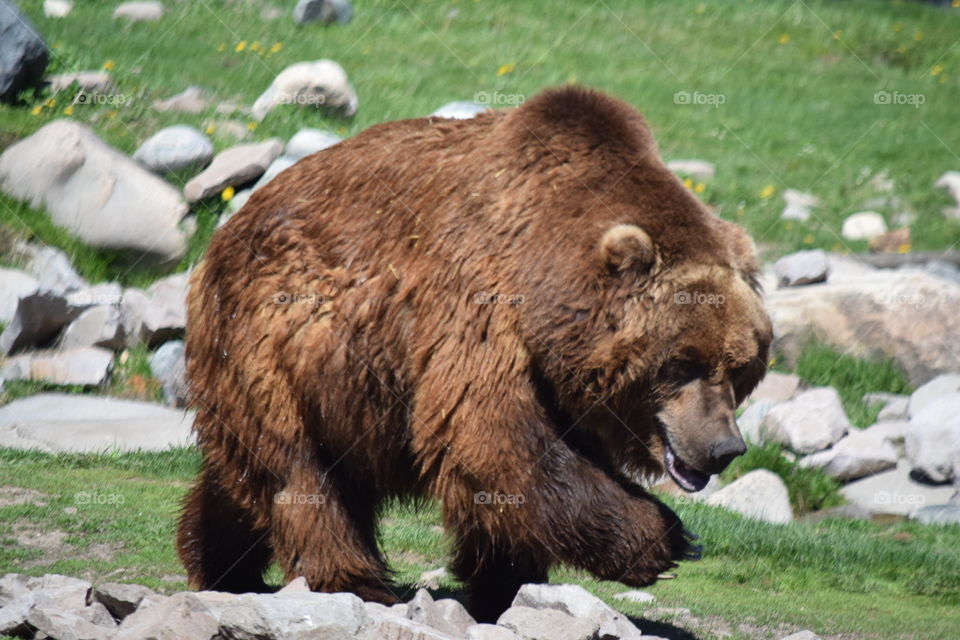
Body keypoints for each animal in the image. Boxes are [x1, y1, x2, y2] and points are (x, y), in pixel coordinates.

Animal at [177, 86, 772, 622]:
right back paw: (354, 581)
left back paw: (218, 561)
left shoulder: (555, 374)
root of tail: (225, 230)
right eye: (683, 363)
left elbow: (505, 478)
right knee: (301, 473)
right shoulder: (480, 309)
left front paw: (505, 582)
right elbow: (493, 438)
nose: (723, 448)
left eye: (740, 367)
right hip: (274, 341)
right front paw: (665, 538)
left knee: (247, 475)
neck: (548, 275)